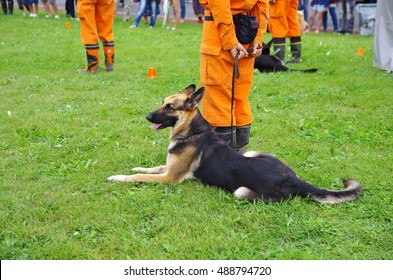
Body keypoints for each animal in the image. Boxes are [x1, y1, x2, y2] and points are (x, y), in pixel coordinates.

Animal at [106, 85, 358, 203]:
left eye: (170, 107)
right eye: (162, 102)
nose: (147, 117)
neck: (192, 131)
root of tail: (294, 179)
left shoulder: (170, 178)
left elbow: (139, 177)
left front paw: (118, 177)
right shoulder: (168, 168)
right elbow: (151, 167)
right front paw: (137, 166)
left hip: (240, 192)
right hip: (253, 153)